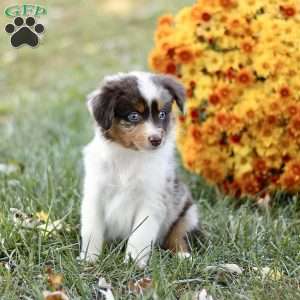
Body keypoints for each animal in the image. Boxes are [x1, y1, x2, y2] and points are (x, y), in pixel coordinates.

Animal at [80, 71, 199, 268]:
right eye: (133, 116)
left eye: (162, 114)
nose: (157, 140)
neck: (130, 156)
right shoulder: (95, 194)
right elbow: (91, 230)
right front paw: (89, 259)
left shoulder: (152, 200)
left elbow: (140, 234)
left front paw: (133, 263)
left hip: (188, 213)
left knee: (178, 234)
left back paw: (183, 256)